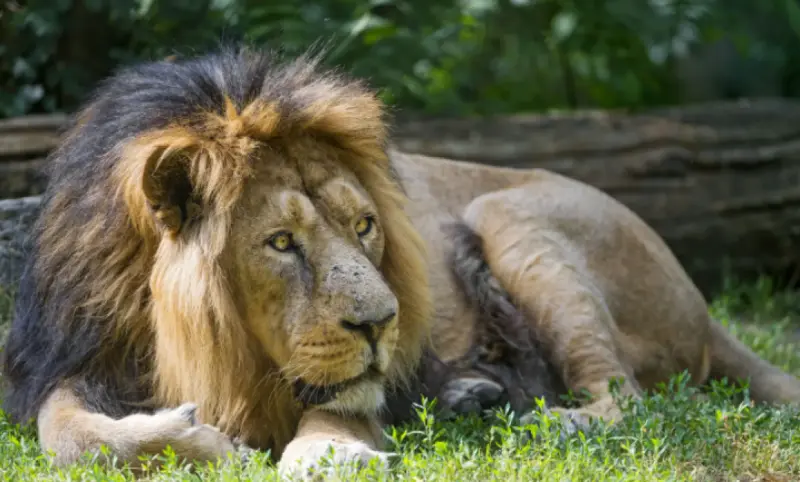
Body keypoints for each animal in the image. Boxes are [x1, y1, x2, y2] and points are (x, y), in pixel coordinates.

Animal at [2, 45, 800, 479]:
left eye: (365, 226)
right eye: (281, 243)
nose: (381, 325)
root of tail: (703, 307)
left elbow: (341, 412)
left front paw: (328, 457)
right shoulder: (78, 352)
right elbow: (65, 433)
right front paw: (195, 442)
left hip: (509, 214)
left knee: (626, 400)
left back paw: (542, 423)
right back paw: (475, 396)